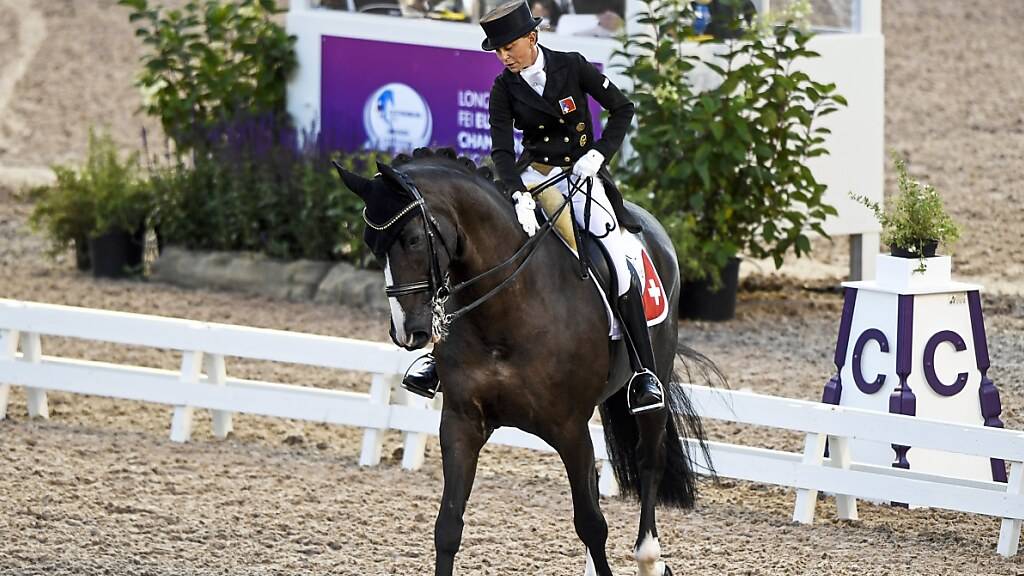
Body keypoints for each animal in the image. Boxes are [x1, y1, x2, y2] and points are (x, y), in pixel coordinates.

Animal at [335, 148, 720, 573]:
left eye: (414, 239)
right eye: (372, 244)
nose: (408, 332)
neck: (508, 305)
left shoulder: (570, 429)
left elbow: (591, 524)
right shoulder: (461, 422)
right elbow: (448, 526)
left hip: (655, 382)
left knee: (649, 458)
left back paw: (650, 557)